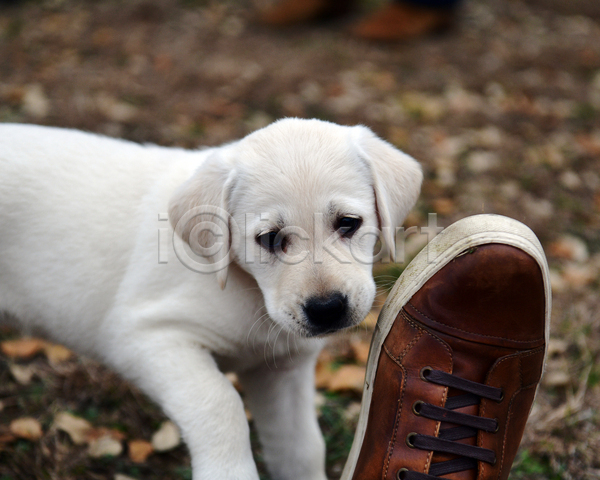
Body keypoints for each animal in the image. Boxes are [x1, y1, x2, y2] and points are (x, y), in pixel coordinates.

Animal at [0, 119, 422, 480]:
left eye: (348, 223)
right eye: (270, 238)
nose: (327, 309)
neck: (248, 292)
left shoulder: (281, 370)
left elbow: (301, 449)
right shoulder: (146, 337)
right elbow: (221, 402)